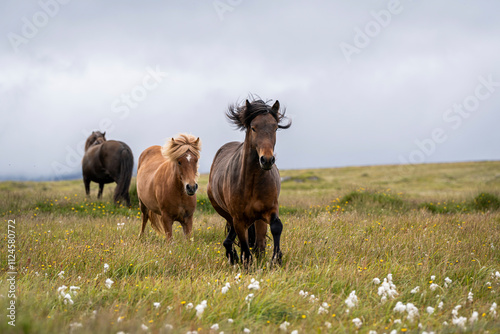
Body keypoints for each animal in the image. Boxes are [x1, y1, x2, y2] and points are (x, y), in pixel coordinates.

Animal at [207, 98, 292, 264]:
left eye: (275, 127)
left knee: (259, 241)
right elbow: (244, 245)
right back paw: (233, 257)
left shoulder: (270, 209)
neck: (252, 182)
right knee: (232, 235)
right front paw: (244, 261)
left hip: (258, 219)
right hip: (227, 214)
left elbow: (276, 227)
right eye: (253, 128)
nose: (267, 160)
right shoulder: (239, 219)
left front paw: (276, 259)